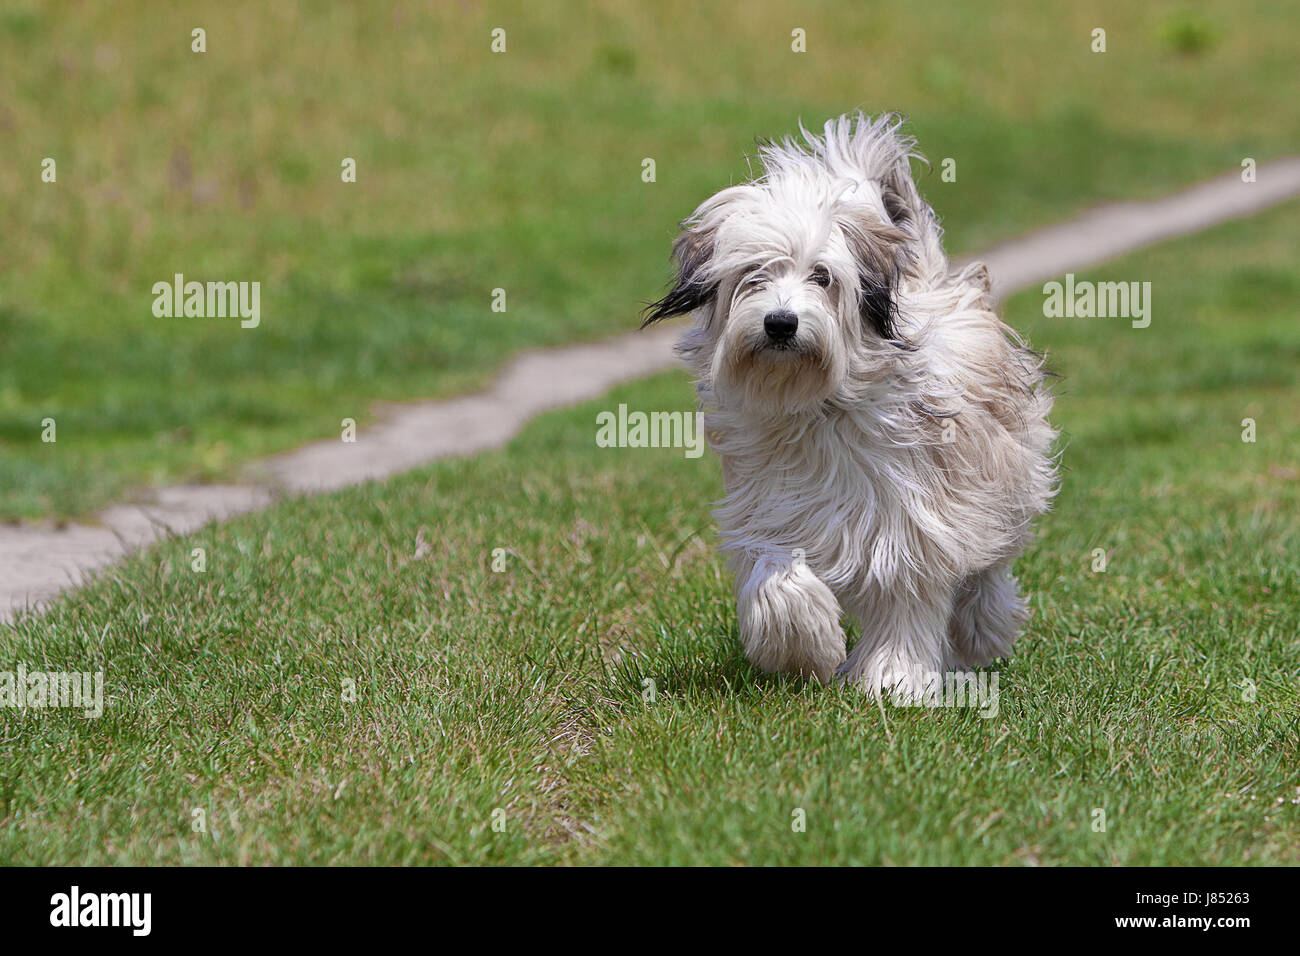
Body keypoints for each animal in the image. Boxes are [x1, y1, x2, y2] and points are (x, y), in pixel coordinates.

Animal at [639, 113, 1055, 702]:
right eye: (754, 274)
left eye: (822, 276)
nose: (781, 322)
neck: (816, 406)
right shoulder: (770, 506)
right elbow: (777, 575)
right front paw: (804, 648)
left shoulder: (913, 519)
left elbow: (909, 598)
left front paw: (895, 680)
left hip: (1005, 474)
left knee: (988, 569)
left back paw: (981, 631)